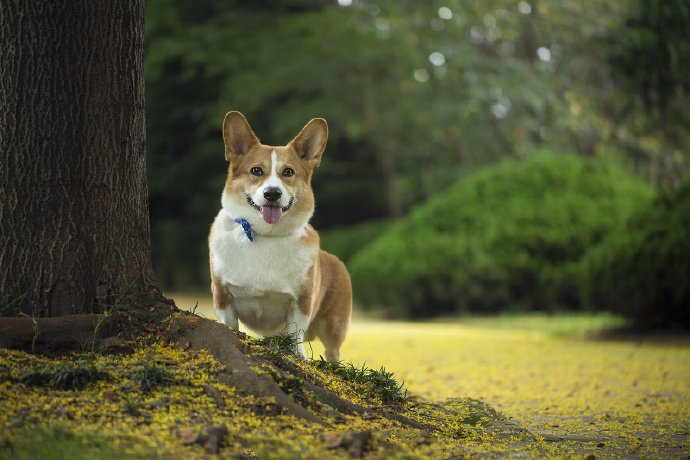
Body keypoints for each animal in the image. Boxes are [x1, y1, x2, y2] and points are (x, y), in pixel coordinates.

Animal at [208, 112, 350, 362]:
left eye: (288, 172)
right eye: (256, 171)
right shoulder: (223, 296)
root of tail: (336, 261)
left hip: (335, 328)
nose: (272, 193)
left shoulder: (301, 303)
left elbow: (295, 337)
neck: (266, 234)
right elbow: (230, 326)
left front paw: (298, 357)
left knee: (333, 352)